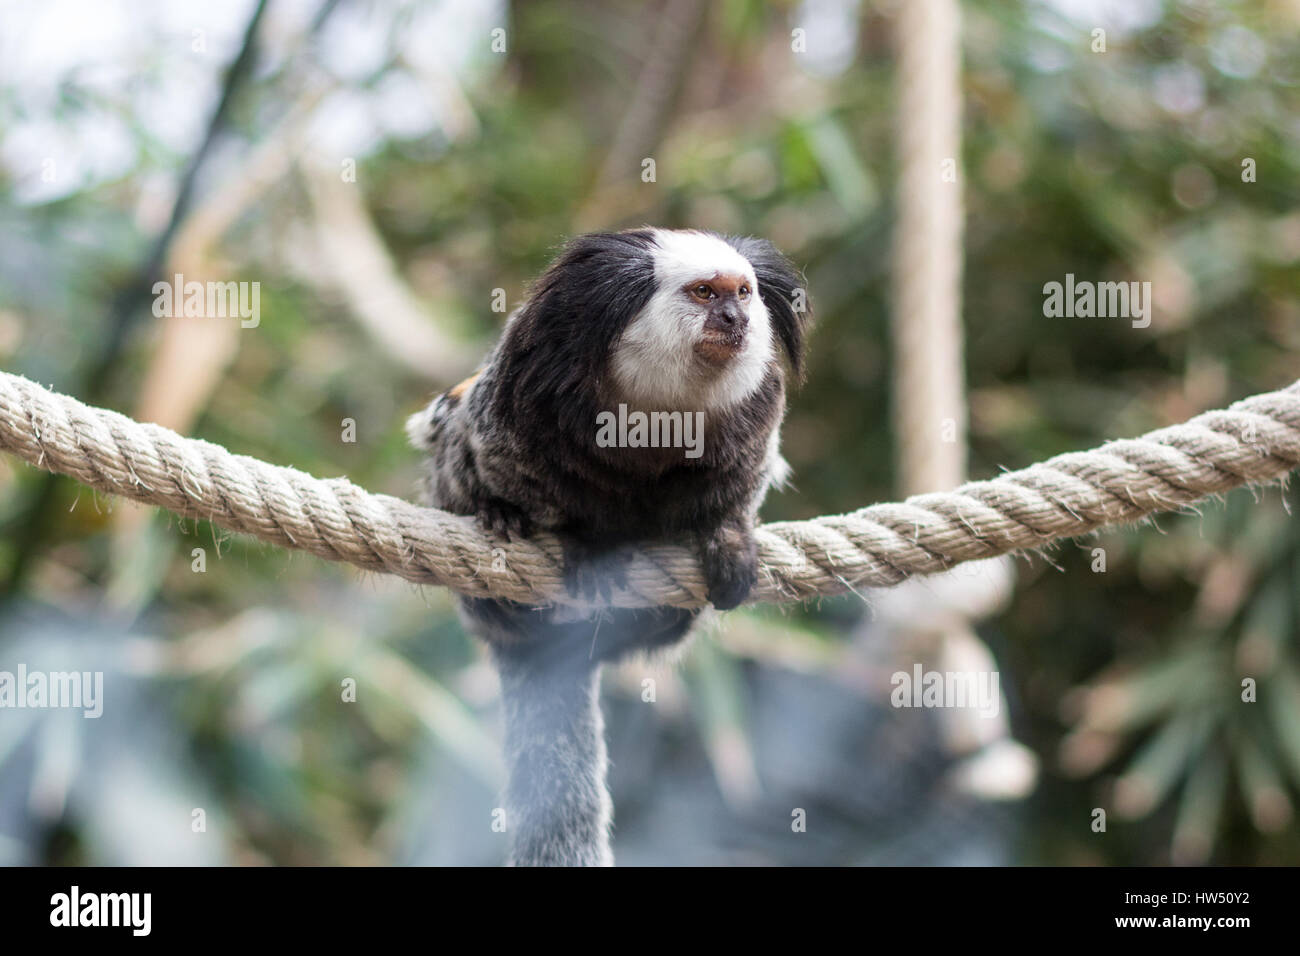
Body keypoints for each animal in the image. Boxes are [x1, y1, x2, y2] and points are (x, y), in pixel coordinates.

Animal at [406, 228, 809, 866]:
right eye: (704, 293)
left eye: (744, 292)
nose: (736, 318)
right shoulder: (526, 388)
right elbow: (495, 449)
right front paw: (574, 536)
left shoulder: (756, 409)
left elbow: (741, 483)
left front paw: (727, 538)